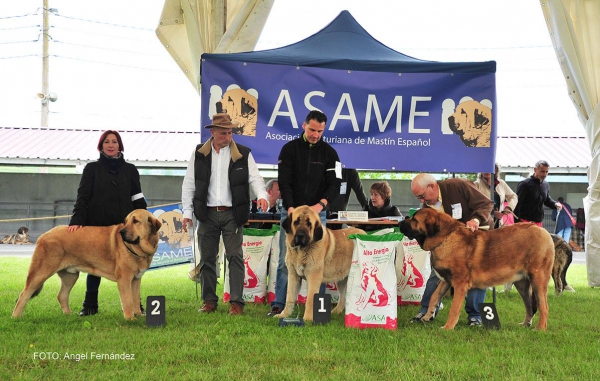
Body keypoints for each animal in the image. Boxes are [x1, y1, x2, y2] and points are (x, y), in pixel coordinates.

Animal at [12, 209, 162, 320]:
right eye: (125, 222)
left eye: (135, 221)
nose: (121, 232)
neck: (138, 248)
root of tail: (43, 236)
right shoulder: (124, 279)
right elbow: (128, 300)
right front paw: (130, 319)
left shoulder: (136, 279)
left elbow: (135, 298)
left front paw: (139, 315)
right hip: (40, 273)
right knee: (24, 295)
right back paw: (16, 317)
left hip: (70, 276)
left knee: (62, 295)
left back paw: (69, 315)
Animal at [400, 208, 556, 330]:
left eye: (414, 219)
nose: (400, 222)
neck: (446, 238)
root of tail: (543, 231)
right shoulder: (446, 280)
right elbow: (433, 297)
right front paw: (427, 317)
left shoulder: (460, 284)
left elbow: (454, 308)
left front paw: (448, 327)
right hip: (522, 284)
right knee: (529, 306)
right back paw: (525, 324)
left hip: (538, 280)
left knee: (544, 306)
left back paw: (540, 329)